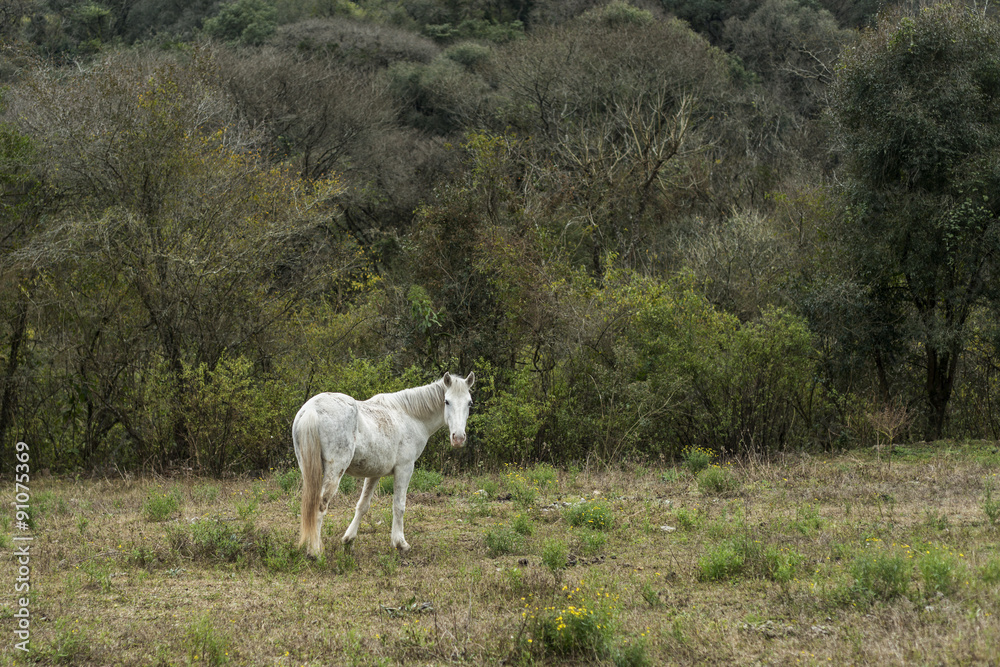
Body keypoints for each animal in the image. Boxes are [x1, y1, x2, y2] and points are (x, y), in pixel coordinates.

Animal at [292, 371, 475, 557]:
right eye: (447, 401)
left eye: (469, 403)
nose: (458, 438)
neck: (411, 416)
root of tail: (312, 410)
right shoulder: (405, 468)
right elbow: (399, 505)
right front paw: (400, 543)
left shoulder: (374, 473)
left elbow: (363, 505)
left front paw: (348, 540)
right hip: (335, 471)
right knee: (320, 505)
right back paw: (314, 552)